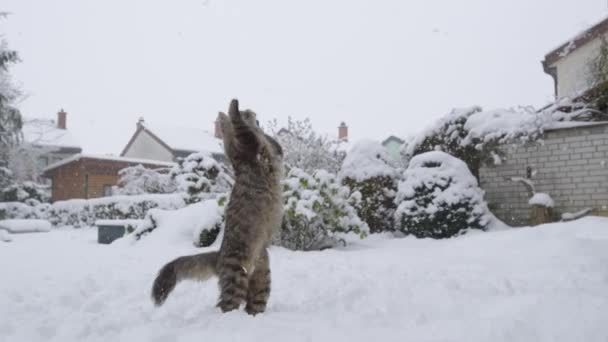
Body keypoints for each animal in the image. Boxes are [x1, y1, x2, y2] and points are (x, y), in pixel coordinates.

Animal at [152, 99, 284, 316]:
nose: (254, 116)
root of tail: (219, 255)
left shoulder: (262, 151)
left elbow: (266, 141)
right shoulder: (244, 148)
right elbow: (238, 128)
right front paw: (232, 110)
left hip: (261, 280)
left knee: (252, 305)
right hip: (237, 278)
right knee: (226, 305)